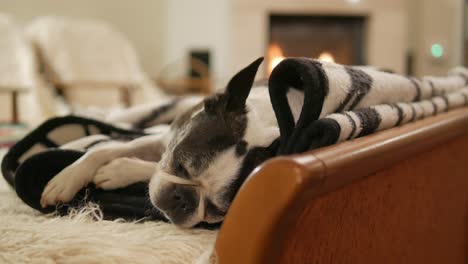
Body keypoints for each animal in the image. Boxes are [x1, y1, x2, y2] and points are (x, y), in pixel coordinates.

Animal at [39, 57, 304, 227]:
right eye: (180, 166)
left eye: (215, 211)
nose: (182, 201)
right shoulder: (166, 140)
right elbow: (109, 149)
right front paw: (66, 179)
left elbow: (146, 166)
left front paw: (118, 170)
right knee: (122, 121)